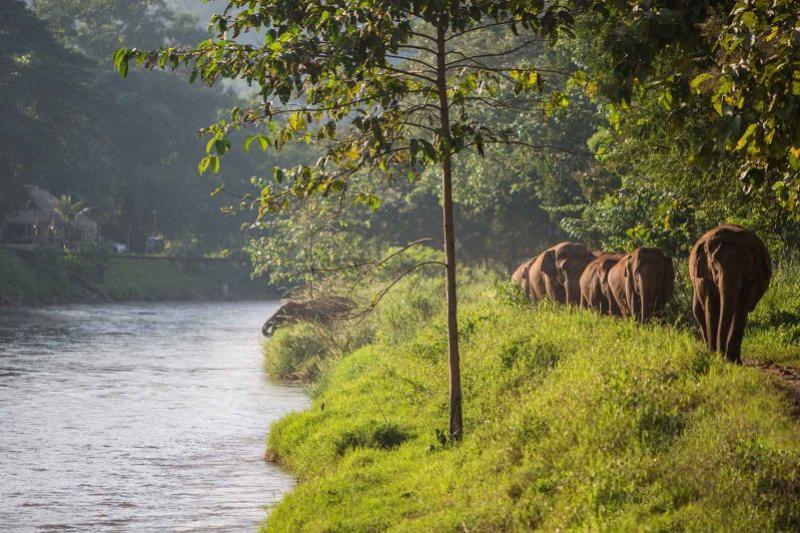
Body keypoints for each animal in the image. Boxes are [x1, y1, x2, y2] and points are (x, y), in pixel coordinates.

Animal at [689, 224, 771, 363]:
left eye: (746, 264)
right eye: (715, 267)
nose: (720, 355)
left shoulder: (754, 276)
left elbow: (742, 306)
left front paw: (733, 361)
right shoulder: (706, 276)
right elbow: (711, 306)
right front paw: (715, 356)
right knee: (698, 311)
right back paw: (709, 350)